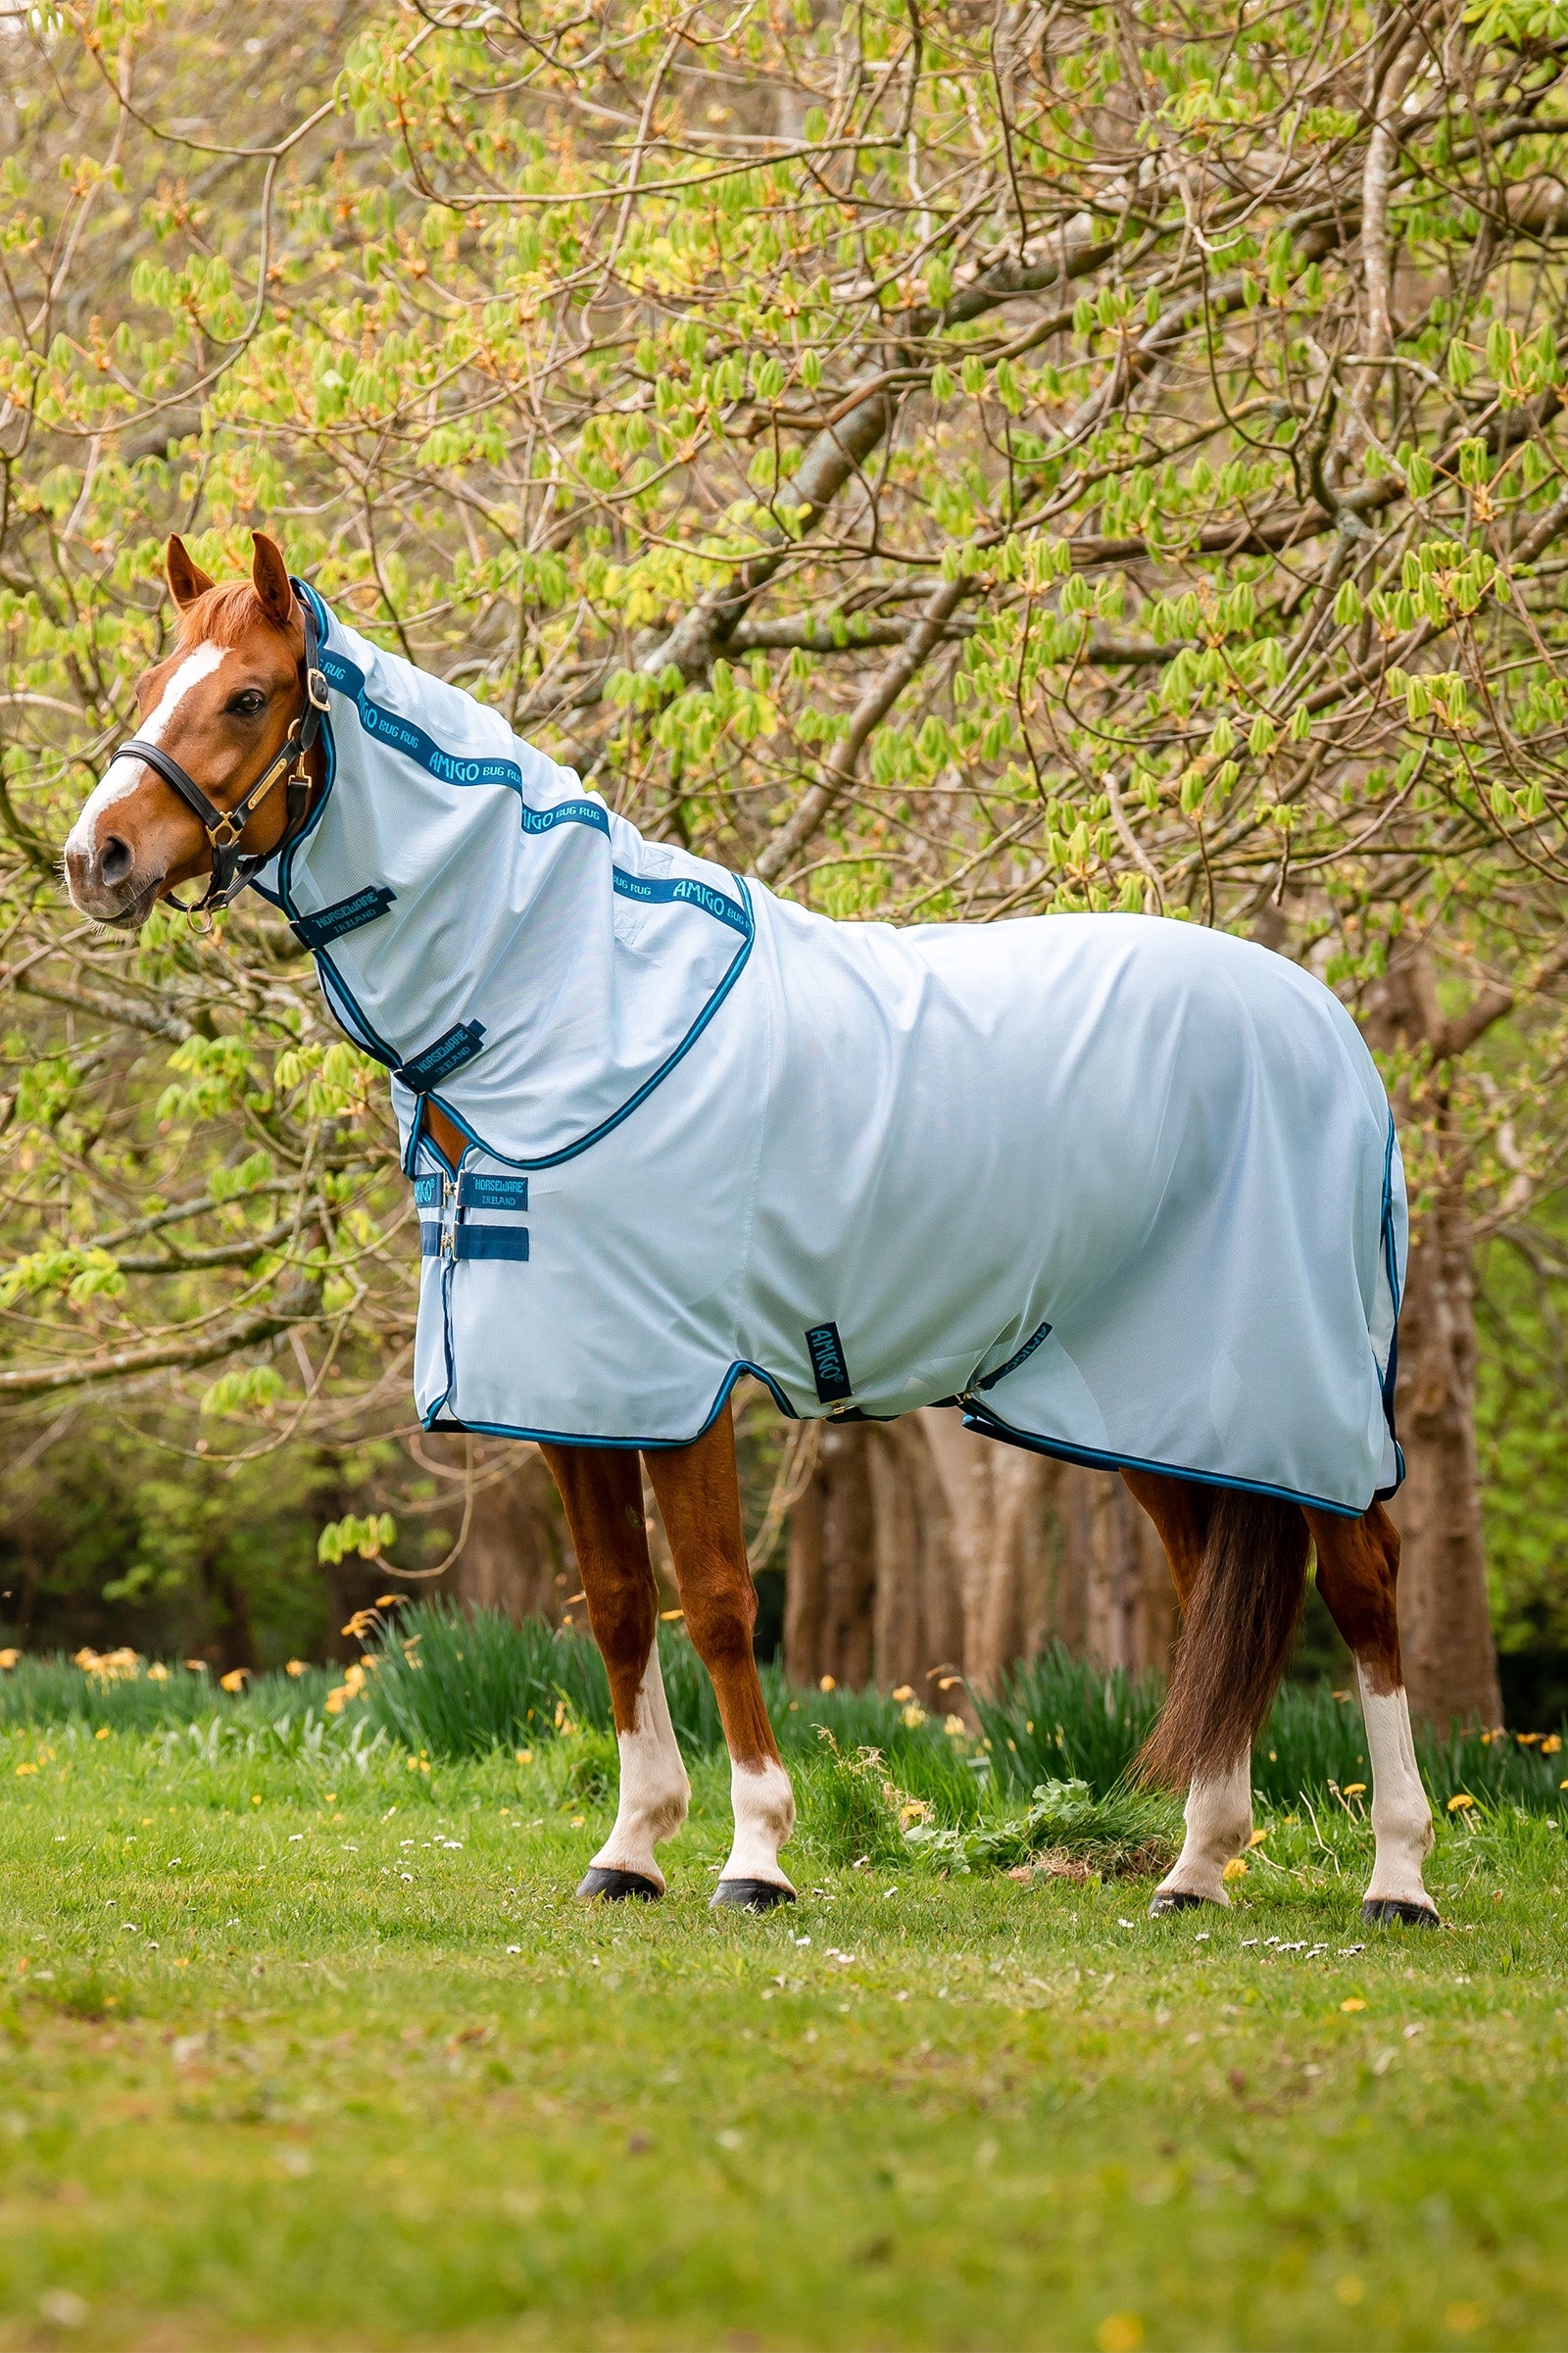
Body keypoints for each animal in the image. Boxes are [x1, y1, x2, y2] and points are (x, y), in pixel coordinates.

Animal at [63, 532, 1438, 1927]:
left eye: (246, 697)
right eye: (151, 681)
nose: (95, 857)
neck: (571, 1000)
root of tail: (1325, 1025)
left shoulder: (683, 1381)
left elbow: (720, 1602)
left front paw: (755, 1855)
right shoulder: (572, 1388)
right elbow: (621, 1605)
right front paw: (629, 1848)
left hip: (1300, 1390)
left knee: (1364, 1581)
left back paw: (1396, 1876)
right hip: (1158, 1401)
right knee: (1214, 1586)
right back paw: (1196, 1866)